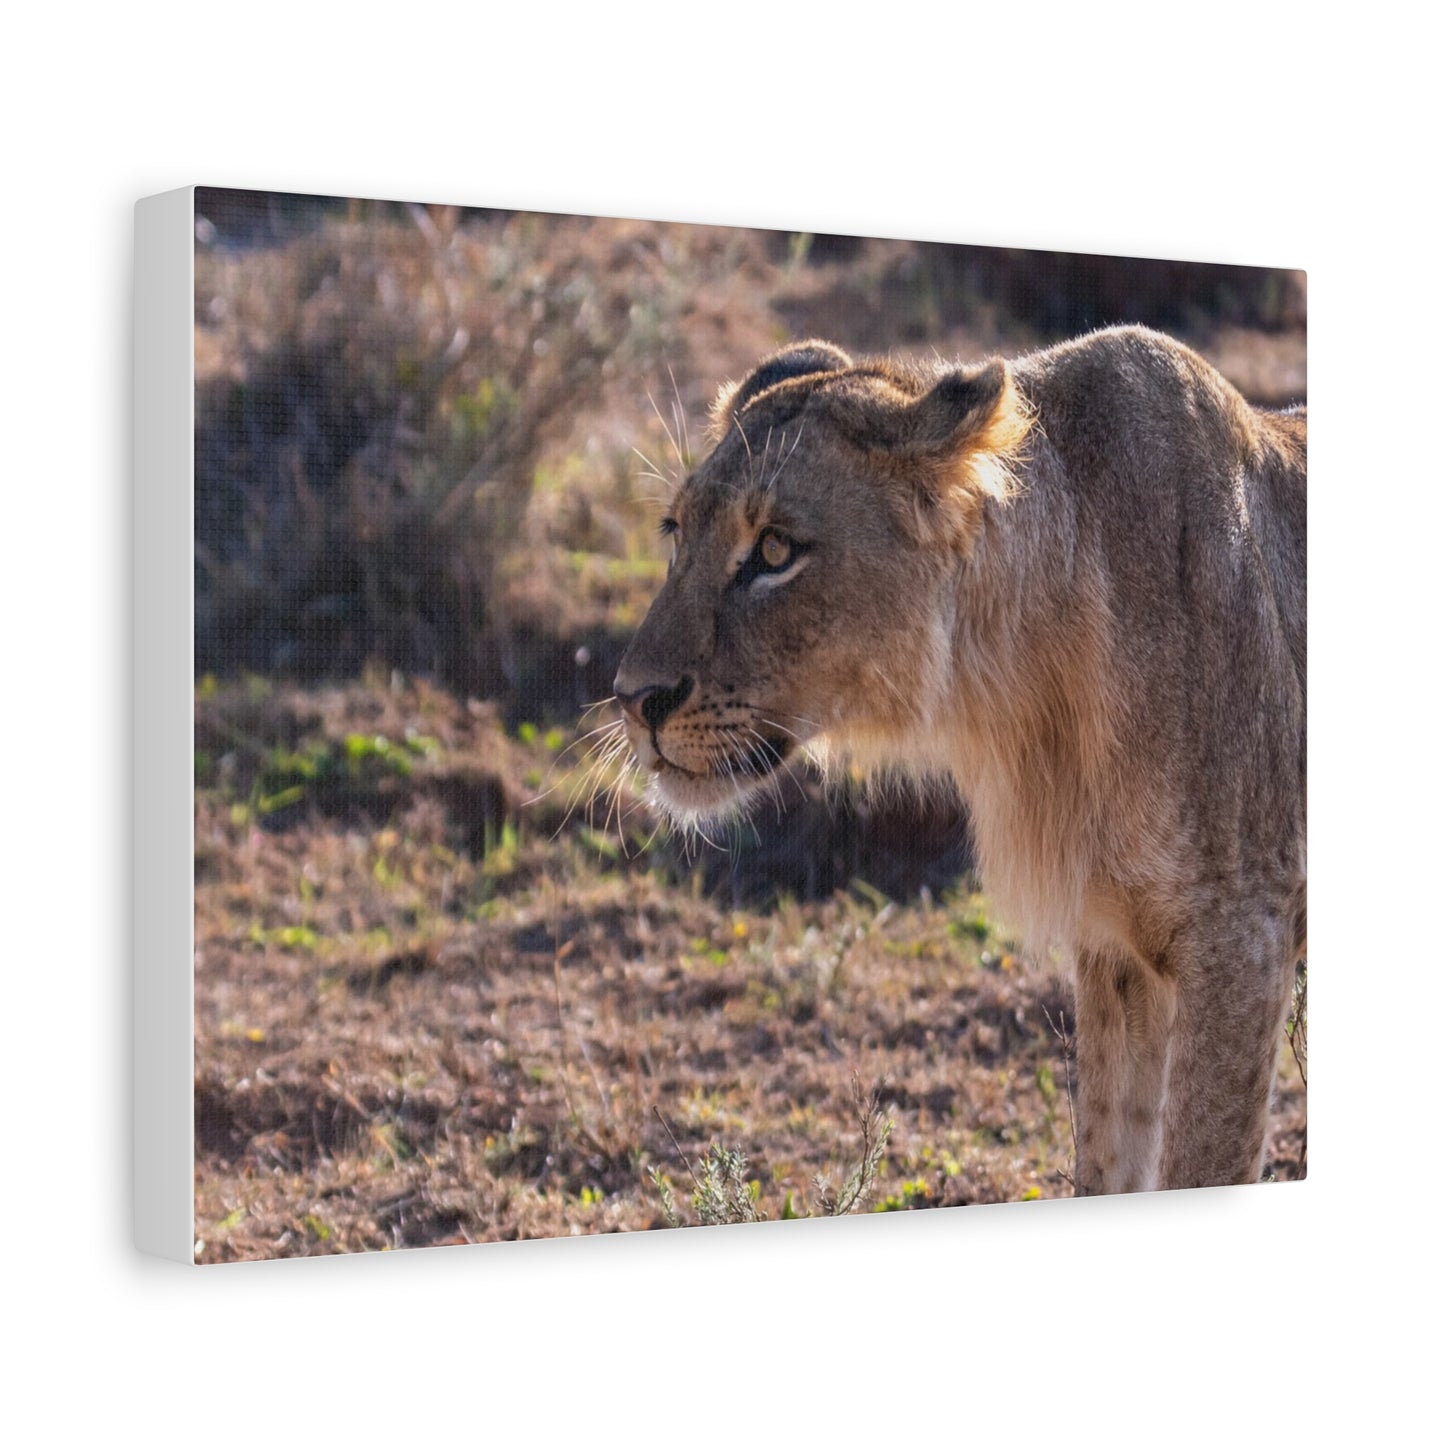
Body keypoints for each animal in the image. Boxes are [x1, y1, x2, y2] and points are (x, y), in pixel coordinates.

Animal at [613, 326, 1306, 1196]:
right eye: (675, 531)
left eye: (773, 549)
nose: (632, 698)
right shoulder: (1113, 949)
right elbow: (1106, 1160)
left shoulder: (1242, 933)